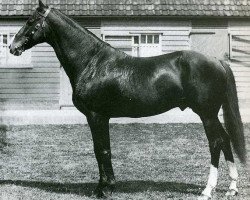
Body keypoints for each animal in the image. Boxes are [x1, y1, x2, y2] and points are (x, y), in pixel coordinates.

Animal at [9, 1, 246, 198]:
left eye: (30, 21)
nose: (13, 47)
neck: (92, 62)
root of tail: (217, 61)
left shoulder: (97, 116)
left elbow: (102, 150)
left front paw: (105, 189)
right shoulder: (98, 117)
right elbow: (100, 149)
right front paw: (104, 186)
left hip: (207, 114)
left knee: (216, 142)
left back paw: (208, 189)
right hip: (212, 114)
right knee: (225, 140)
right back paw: (232, 188)